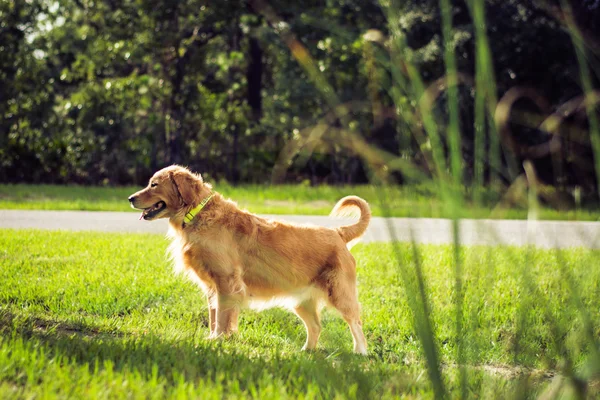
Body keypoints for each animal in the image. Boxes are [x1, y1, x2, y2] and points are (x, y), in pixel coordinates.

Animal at [128, 165, 370, 354]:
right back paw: (306, 351)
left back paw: (360, 352)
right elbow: (214, 315)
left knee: (356, 322)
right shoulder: (212, 287)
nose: (130, 198)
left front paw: (219, 340)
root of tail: (338, 232)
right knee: (316, 326)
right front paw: (214, 338)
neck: (197, 212)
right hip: (301, 300)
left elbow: (222, 317)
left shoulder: (226, 282)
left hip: (340, 293)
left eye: (154, 185)